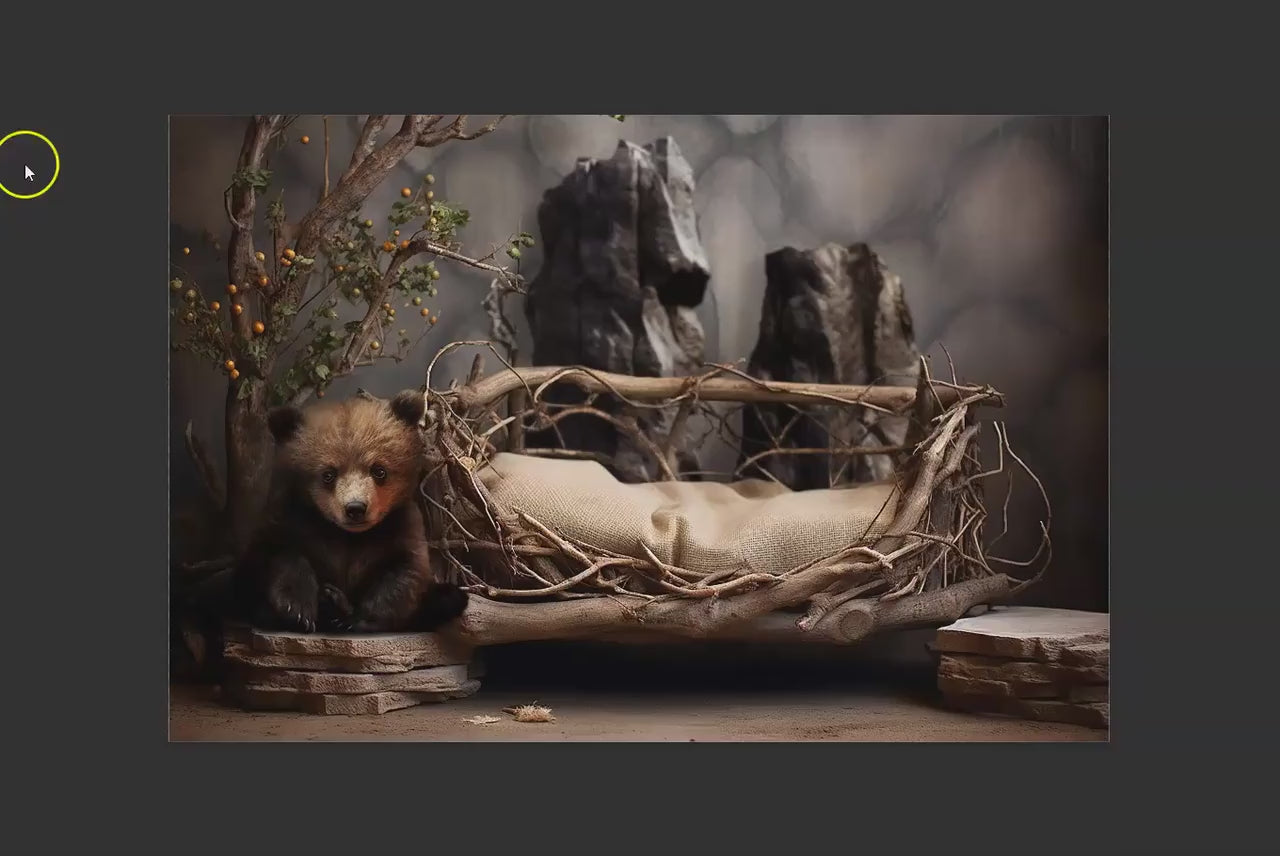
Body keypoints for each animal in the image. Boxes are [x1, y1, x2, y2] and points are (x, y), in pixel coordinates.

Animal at [231, 388, 469, 635]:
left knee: (447, 597)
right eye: (328, 474)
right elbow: (275, 556)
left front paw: (352, 617)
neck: (349, 535)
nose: (355, 508)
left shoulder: (400, 526)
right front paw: (298, 610)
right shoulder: (290, 518)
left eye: (379, 470)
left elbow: (403, 576)